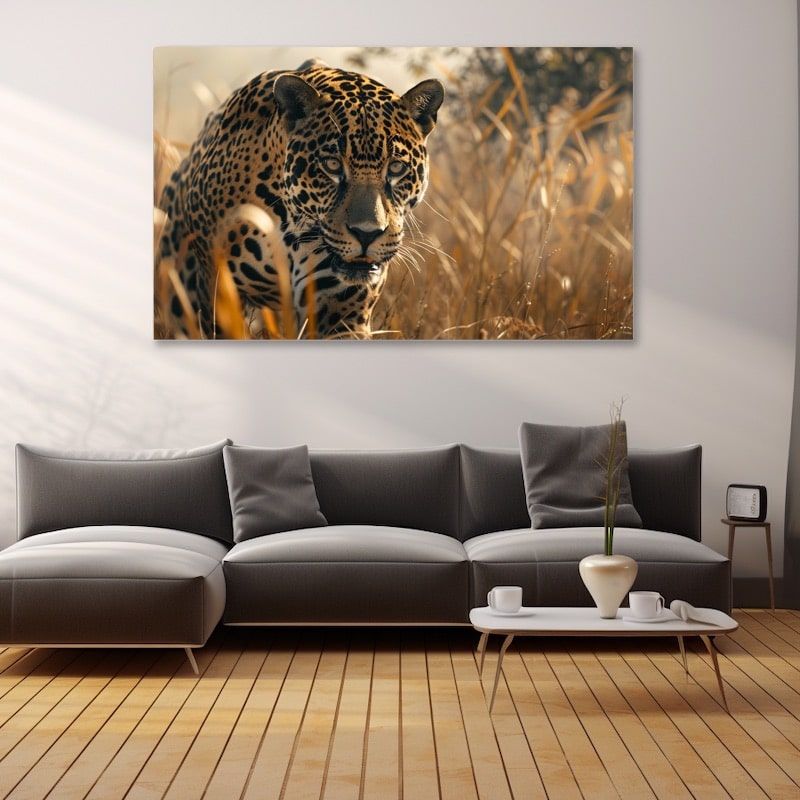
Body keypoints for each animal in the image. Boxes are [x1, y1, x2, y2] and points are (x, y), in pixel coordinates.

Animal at [156, 59, 444, 339]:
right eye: (332, 165)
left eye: (396, 167)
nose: (367, 234)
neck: (289, 225)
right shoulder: (220, 294)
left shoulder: (339, 313)